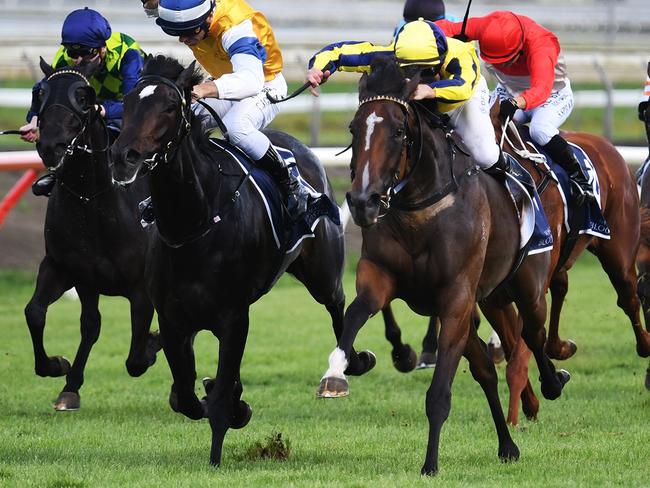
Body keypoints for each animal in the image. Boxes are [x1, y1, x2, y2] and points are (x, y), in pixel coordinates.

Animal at [24, 60, 159, 412]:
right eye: (40, 92)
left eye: (84, 97)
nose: (51, 145)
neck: (93, 201)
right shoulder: (71, 271)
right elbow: (43, 315)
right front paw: (61, 372)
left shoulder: (141, 287)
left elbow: (136, 358)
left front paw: (152, 346)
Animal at [106, 55, 370, 468]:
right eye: (129, 102)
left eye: (169, 106)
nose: (123, 157)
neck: (194, 224)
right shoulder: (174, 318)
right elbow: (187, 396)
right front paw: (225, 398)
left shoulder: (233, 318)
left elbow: (216, 401)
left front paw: (222, 435)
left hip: (323, 274)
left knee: (338, 307)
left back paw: (349, 365)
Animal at [314, 56, 568, 472]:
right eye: (353, 128)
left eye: (400, 131)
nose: (363, 202)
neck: (420, 210)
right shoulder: (379, 275)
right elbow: (354, 314)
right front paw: (336, 374)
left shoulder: (455, 298)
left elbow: (439, 394)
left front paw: (430, 464)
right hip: (486, 300)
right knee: (486, 368)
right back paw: (507, 445)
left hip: (526, 286)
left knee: (533, 330)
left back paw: (551, 383)